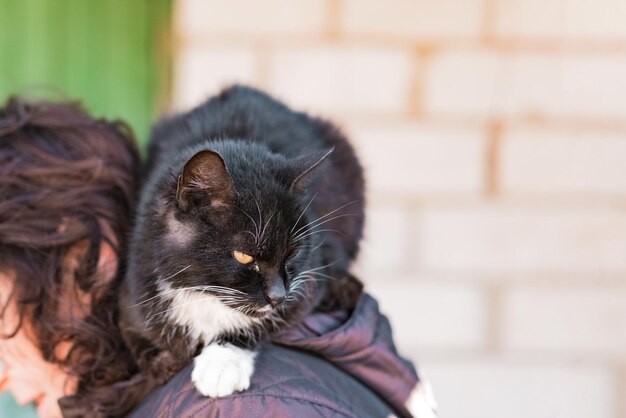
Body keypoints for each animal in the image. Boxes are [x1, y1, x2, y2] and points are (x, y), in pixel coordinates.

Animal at [121, 85, 364, 398]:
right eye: (245, 256)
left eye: (293, 252)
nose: (278, 296)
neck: (205, 295)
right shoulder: (136, 284)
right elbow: (138, 335)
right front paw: (164, 362)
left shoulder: (309, 282)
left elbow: (264, 321)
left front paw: (220, 363)